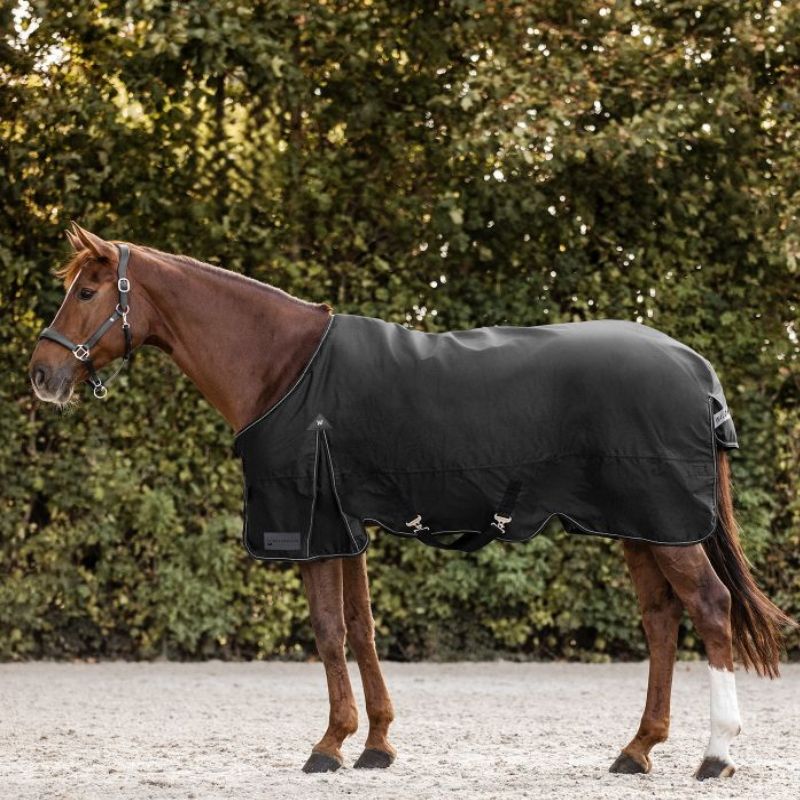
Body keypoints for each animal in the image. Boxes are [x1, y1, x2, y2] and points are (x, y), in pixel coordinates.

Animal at [28, 224, 793, 779]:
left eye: (89, 290)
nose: (42, 375)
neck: (283, 366)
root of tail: (697, 369)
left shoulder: (312, 526)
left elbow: (328, 633)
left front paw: (328, 745)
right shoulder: (347, 528)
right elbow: (361, 631)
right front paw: (375, 745)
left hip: (669, 528)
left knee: (711, 610)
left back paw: (716, 755)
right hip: (641, 527)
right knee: (662, 622)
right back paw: (636, 751)